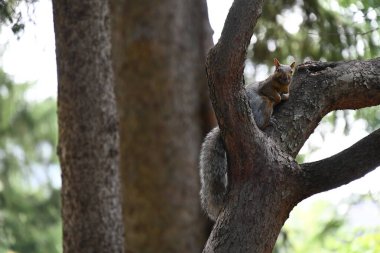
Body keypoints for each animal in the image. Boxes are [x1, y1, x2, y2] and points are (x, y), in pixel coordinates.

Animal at [200, 58, 296, 220]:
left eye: (291, 71)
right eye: (278, 70)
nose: (286, 78)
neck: (280, 85)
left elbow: (285, 93)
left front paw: (286, 95)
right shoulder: (265, 87)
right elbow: (274, 95)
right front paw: (281, 97)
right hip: (264, 105)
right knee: (262, 121)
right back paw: (269, 122)